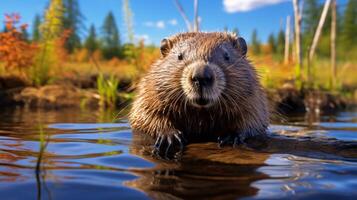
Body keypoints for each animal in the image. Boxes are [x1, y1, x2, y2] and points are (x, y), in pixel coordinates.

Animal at [129, 31, 268, 156]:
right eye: (179, 56)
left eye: (227, 56)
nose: (201, 76)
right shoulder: (150, 91)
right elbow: (144, 115)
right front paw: (169, 137)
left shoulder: (253, 98)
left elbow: (254, 119)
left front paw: (231, 136)